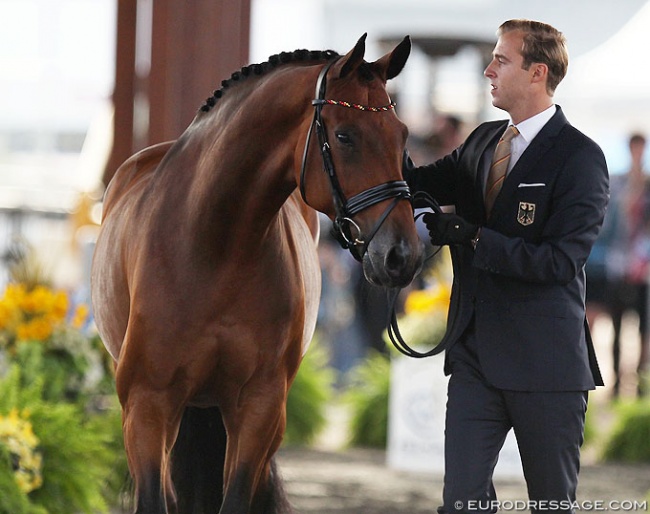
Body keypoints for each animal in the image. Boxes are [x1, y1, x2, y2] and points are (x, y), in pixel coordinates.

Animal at [91, 34, 422, 510]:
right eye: (345, 136)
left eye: (403, 136)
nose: (401, 256)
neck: (215, 251)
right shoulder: (146, 407)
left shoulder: (259, 409)